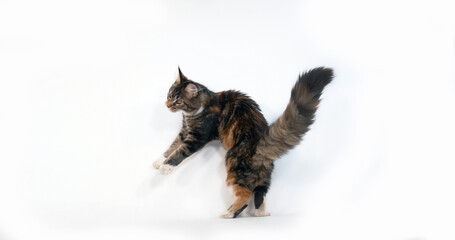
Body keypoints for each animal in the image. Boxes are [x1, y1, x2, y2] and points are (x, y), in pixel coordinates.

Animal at [155, 66, 334, 218]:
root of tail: (262, 142)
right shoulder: (184, 131)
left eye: (178, 101)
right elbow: (172, 146)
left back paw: (228, 214)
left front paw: (166, 167)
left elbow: (180, 152)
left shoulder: (197, 137)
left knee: (245, 196)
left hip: (234, 166)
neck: (202, 106)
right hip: (261, 175)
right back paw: (261, 214)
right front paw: (159, 161)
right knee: (260, 194)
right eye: (169, 95)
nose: (166, 104)